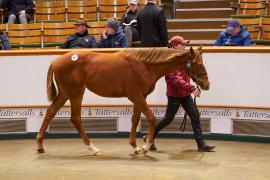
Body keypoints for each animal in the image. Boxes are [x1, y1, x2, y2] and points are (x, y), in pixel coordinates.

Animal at [36, 47, 209, 155]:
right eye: (198, 63)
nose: (206, 84)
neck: (145, 65)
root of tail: (57, 59)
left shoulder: (140, 97)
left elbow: (135, 119)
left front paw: (135, 147)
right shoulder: (136, 96)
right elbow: (152, 118)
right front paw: (145, 147)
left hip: (66, 94)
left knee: (51, 112)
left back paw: (40, 146)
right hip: (75, 93)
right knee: (75, 118)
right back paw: (93, 149)